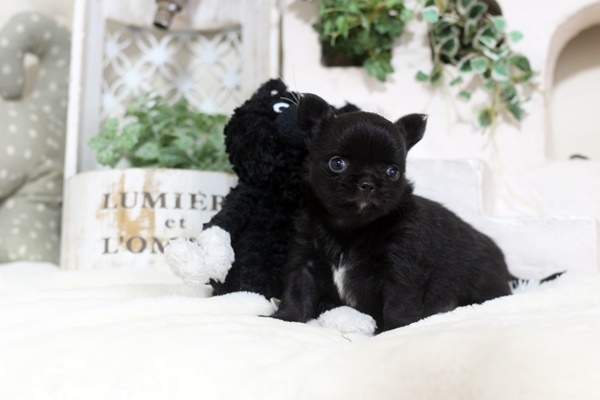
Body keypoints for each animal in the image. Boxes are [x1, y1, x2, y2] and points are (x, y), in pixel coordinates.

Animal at [270, 93, 515, 333]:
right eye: (337, 163)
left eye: (392, 172)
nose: (368, 183)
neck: (351, 225)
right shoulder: (305, 260)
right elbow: (296, 292)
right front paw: (285, 319)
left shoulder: (399, 268)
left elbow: (398, 304)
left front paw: (394, 331)